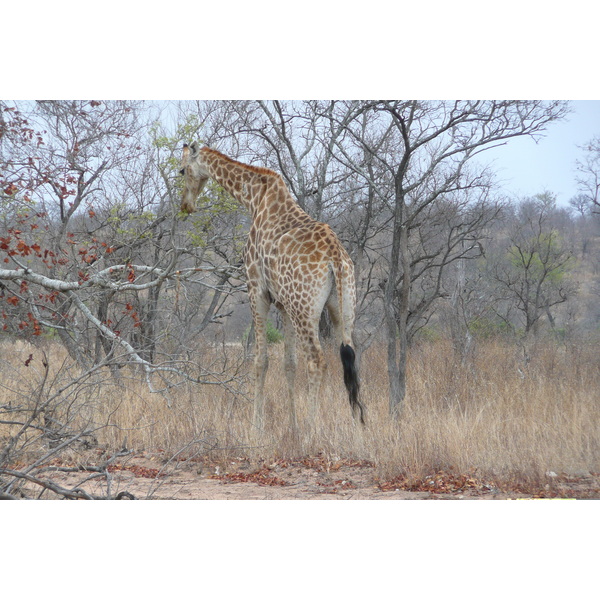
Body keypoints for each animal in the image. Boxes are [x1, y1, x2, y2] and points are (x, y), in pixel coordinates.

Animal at [178, 142, 366, 432]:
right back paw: (357, 430)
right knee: (350, 360)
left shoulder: (256, 289)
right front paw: (293, 426)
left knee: (317, 361)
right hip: (343, 307)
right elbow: (289, 364)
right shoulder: (284, 304)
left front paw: (257, 427)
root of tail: (335, 258)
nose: (185, 205)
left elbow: (261, 361)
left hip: (305, 309)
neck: (254, 198)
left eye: (182, 170)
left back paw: (313, 431)